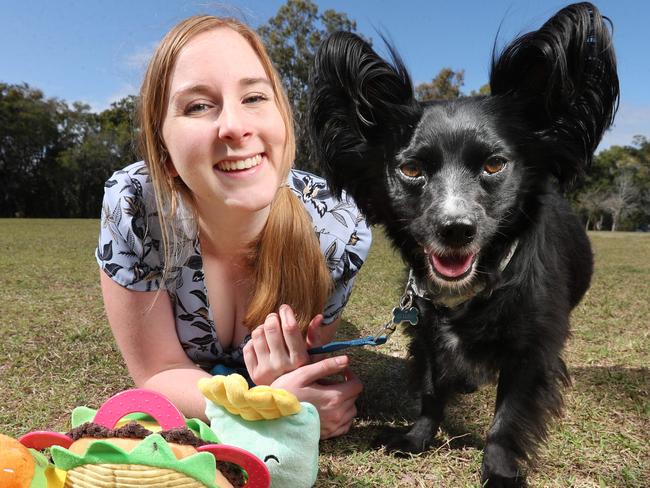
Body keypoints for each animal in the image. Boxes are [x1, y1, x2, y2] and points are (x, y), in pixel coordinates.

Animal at [306, 1, 616, 486]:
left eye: (494, 165)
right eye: (411, 169)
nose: (455, 229)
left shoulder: (532, 348)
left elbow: (507, 417)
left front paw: (500, 470)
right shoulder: (427, 332)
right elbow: (432, 391)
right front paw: (416, 439)